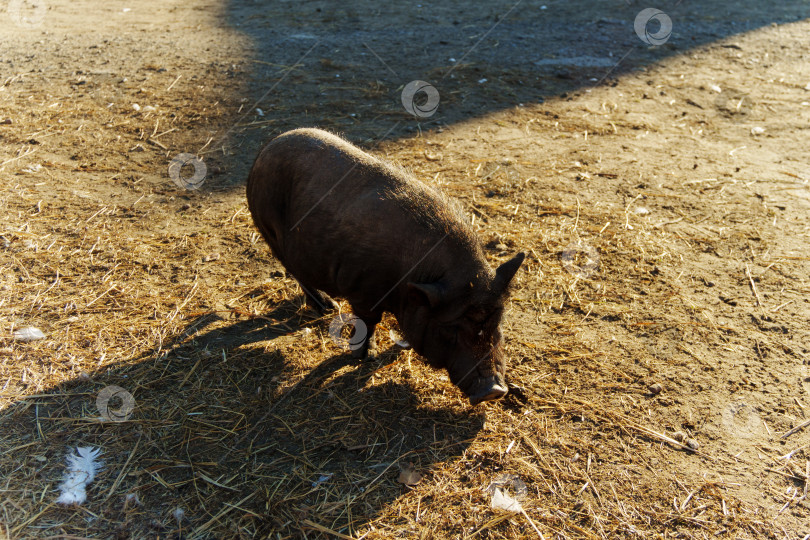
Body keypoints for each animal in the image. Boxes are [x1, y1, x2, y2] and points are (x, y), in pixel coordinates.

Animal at [246, 128, 524, 405]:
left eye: (496, 322)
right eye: (451, 329)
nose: (493, 390)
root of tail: (267, 148)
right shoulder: (362, 291)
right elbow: (368, 322)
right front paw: (364, 356)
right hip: (268, 230)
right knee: (295, 271)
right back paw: (327, 307)